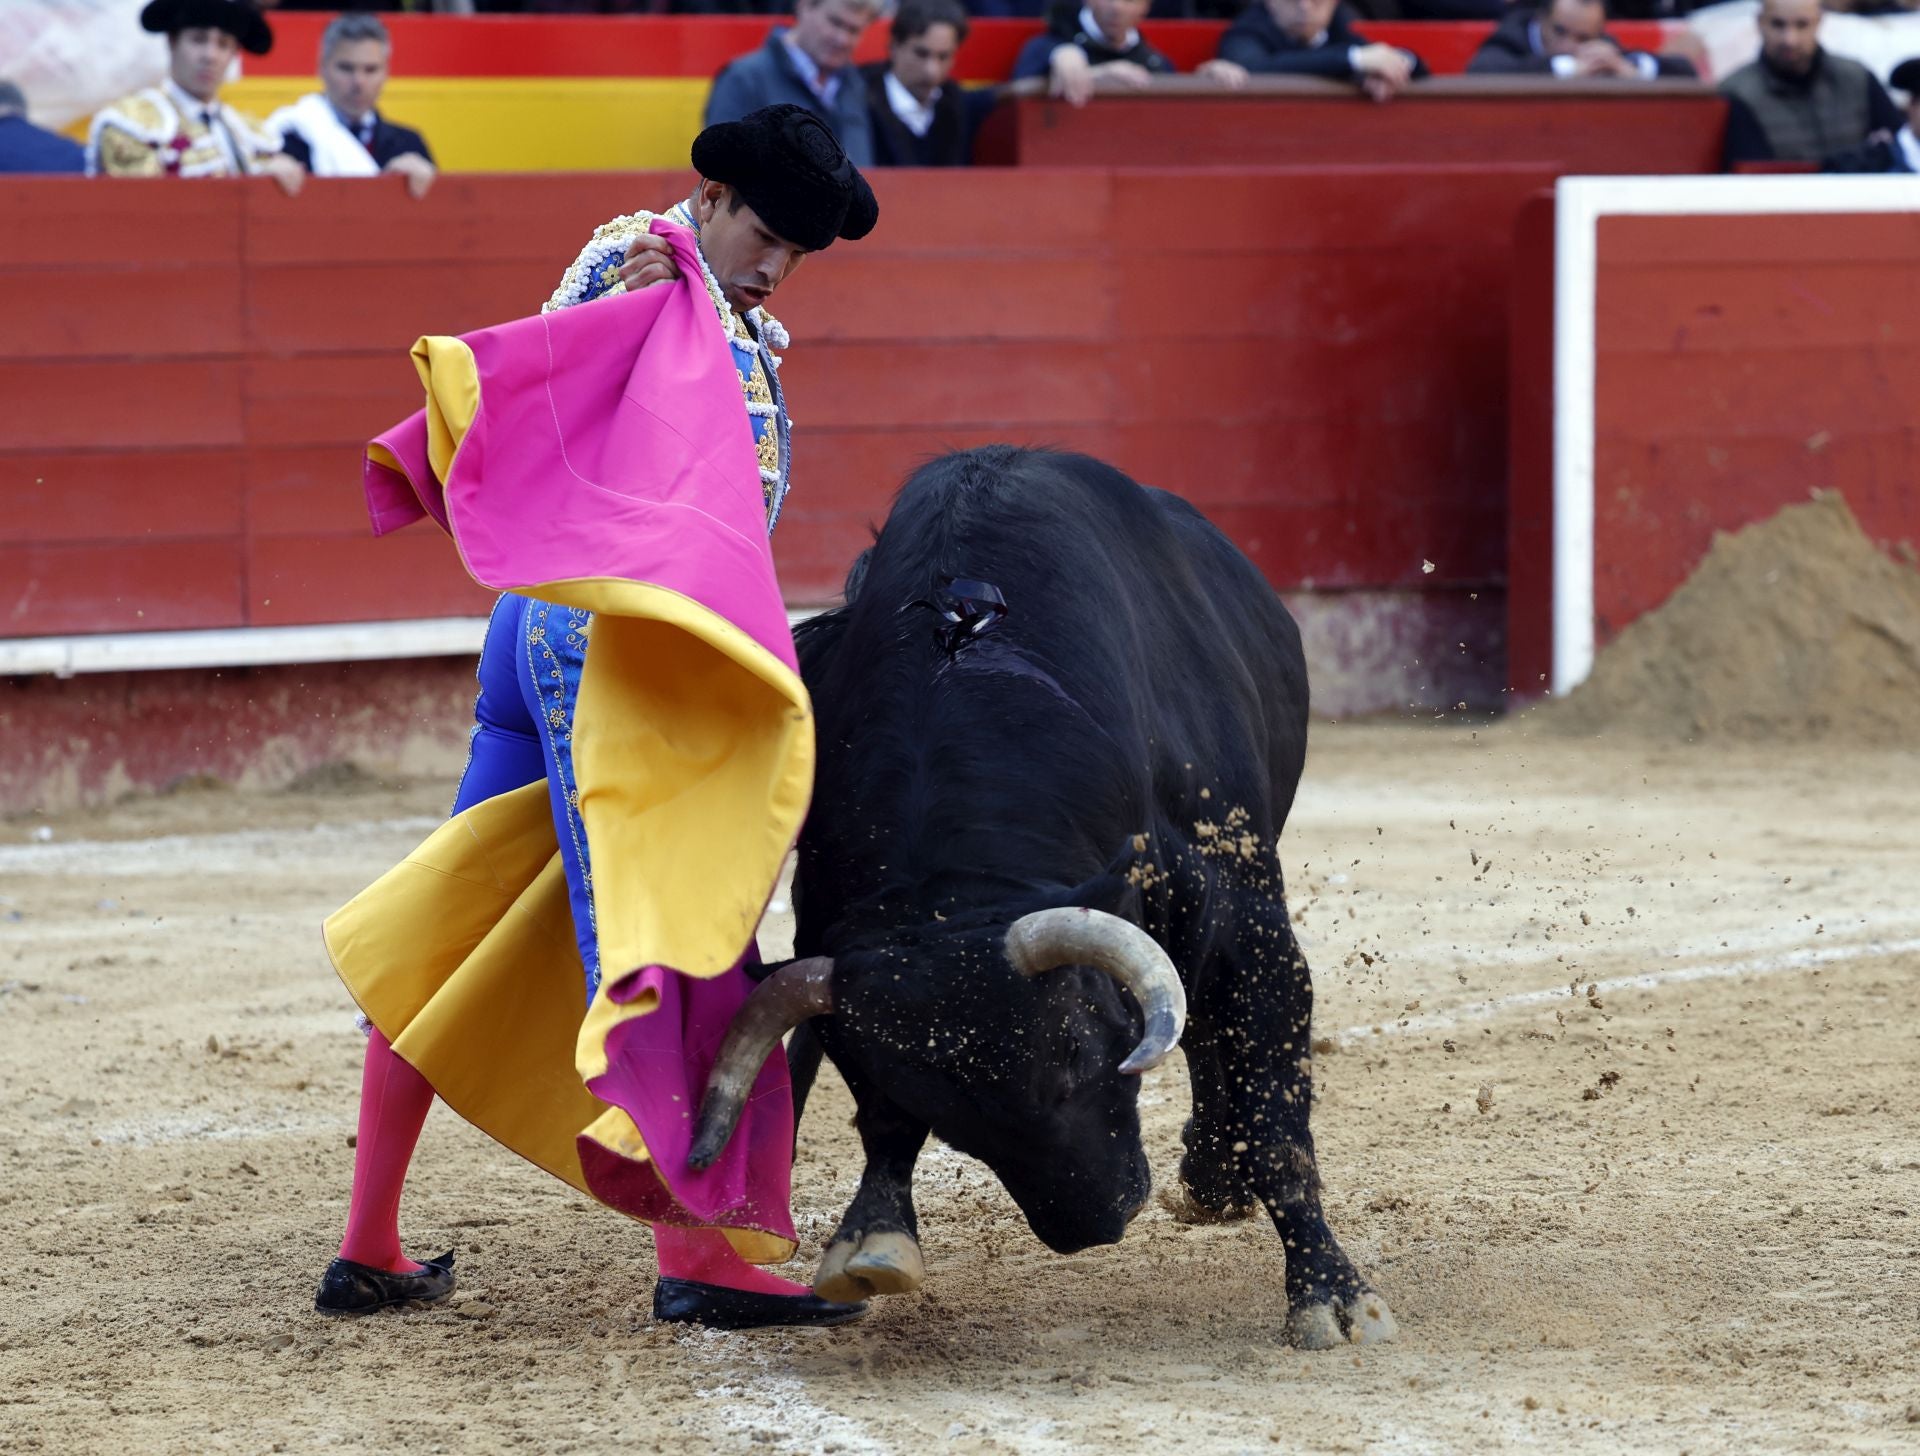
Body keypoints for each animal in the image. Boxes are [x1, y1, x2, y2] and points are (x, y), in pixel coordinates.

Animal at [691, 447, 1397, 1359]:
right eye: (946, 1113)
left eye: (1076, 1051)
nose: (1095, 1222)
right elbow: (877, 1115)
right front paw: (873, 1234)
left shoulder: (1248, 921)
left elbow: (1274, 1108)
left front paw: (1331, 1297)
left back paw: (1216, 1178)